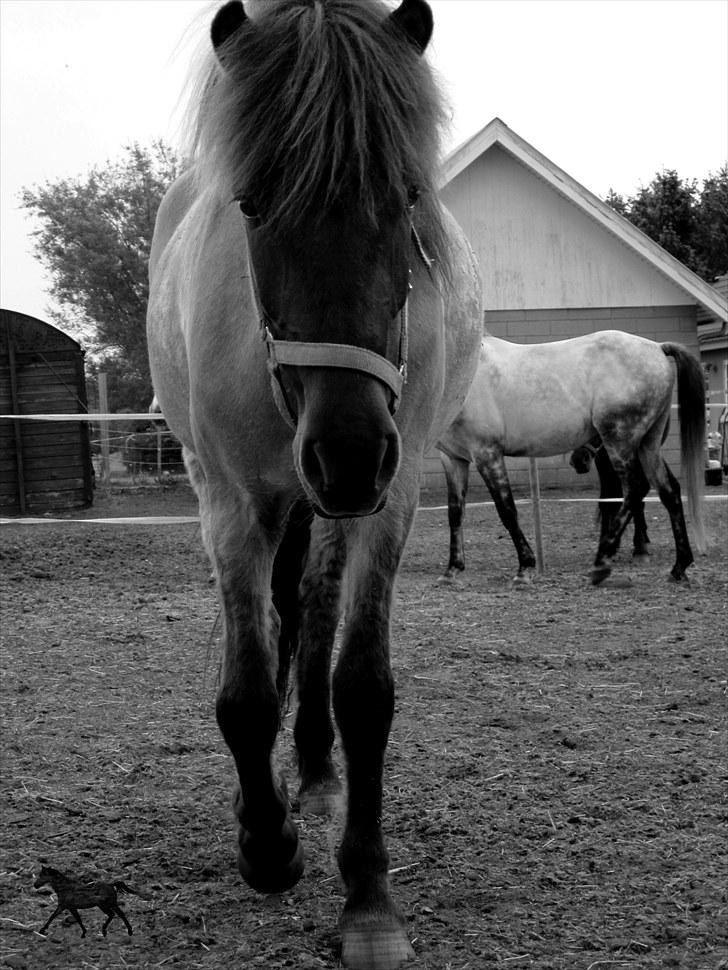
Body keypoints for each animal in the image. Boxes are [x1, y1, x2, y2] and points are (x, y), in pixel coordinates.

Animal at [144, 3, 480, 964]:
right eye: (252, 205)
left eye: (405, 200)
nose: (349, 450)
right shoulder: (227, 503)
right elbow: (246, 693)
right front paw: (266, 845)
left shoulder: (390, 500)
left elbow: (361, 685)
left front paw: (366, 897)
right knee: (282, 618)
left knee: (315, 610)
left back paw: (321, 774)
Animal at [438, 328, 704, 584]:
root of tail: (658, 347)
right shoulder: (453, 460)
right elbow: (455, 513)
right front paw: (452, 570)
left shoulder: (487, 453)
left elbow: (507, 510)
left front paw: (525, 567)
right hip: (647, 445)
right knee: (669, 491)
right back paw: (679, 567)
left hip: (619, 440)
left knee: (635, 489)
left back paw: (602, 563)